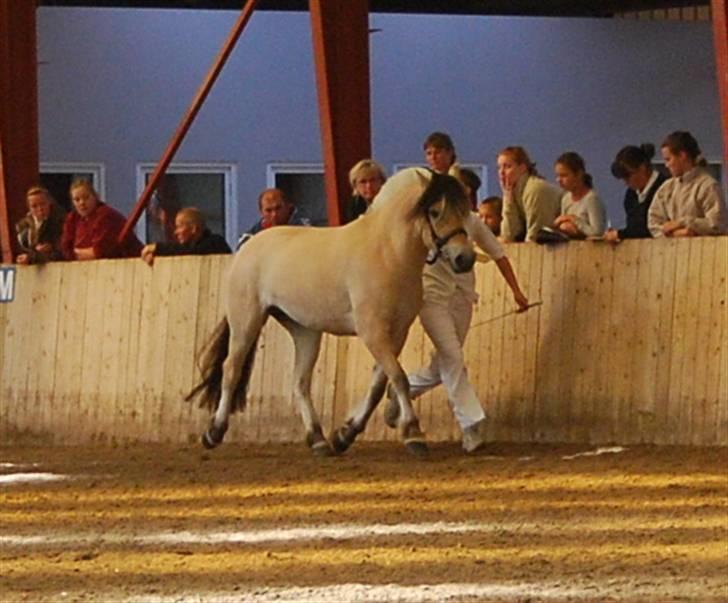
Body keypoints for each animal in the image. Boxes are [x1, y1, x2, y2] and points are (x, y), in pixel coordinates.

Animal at [185, 168, 474, 456]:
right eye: (434, 211)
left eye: (463, 210)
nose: (465, 259)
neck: (386, 252)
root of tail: (247, 246)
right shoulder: (372, 331)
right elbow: (398, 378)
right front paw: (414, 435)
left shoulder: (397, 332)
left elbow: (378, 384)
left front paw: (345, 435)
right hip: (246, 320)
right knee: (231, 370)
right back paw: (213, 433)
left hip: (305, 331)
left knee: (300, 383)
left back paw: (319, 440)